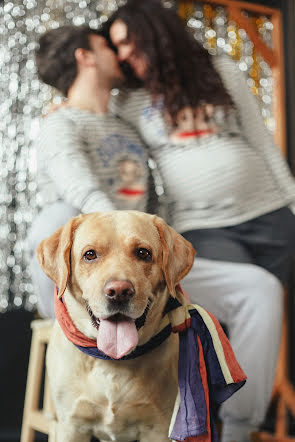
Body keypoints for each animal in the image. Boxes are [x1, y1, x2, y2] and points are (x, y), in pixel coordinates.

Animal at [37, 211, 197, 442]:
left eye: (143, 253)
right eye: (90, 255)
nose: (119, 291)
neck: (112, 362)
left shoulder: (159, 427)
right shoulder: (71, 425)